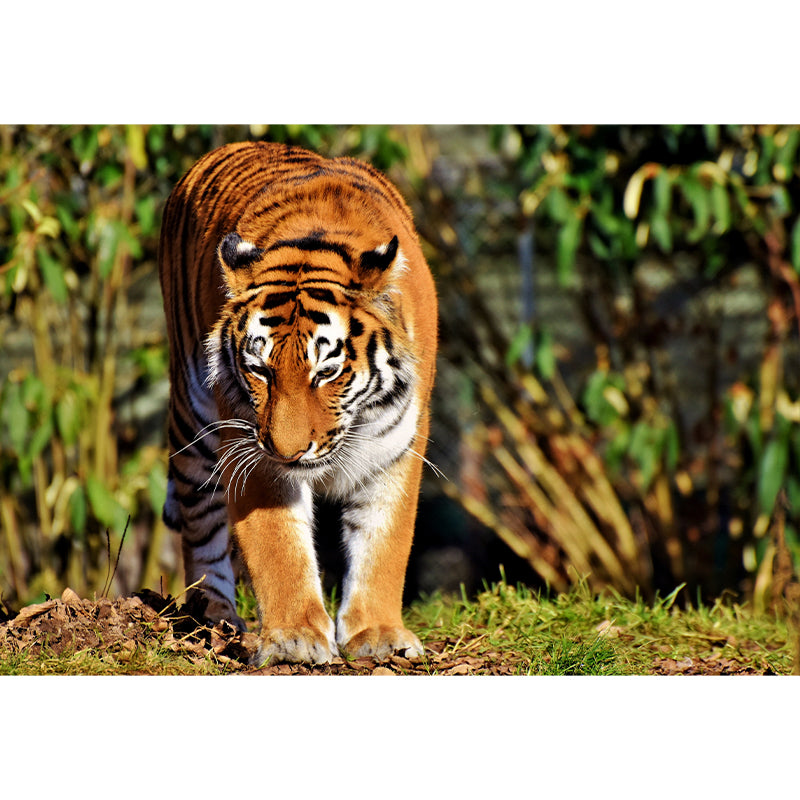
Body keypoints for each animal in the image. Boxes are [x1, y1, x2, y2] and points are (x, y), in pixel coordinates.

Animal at [157, 140, 438, 665]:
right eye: (260, 369)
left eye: (326, 371)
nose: (288, 452)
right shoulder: (249, 443)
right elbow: (278, 546)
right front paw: (295, 639)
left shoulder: (397, 444)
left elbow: (384, 540)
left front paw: (378, 634)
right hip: (193, 420)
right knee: (200, 524)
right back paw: (213, 614)